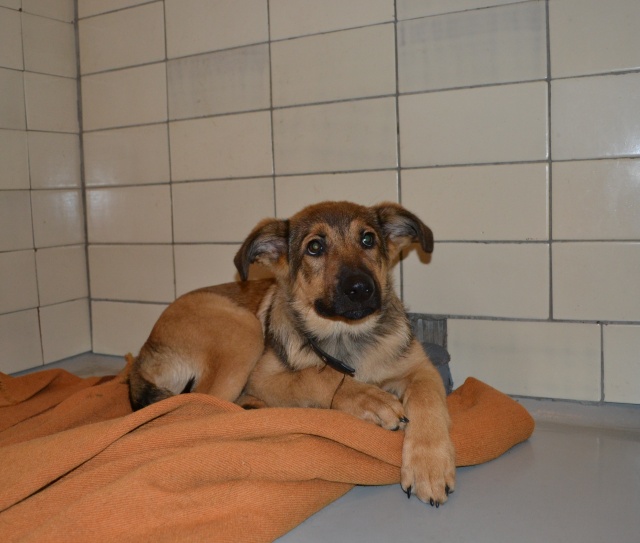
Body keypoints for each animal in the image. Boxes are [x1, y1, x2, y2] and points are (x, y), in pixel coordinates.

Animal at [129, 201, 456, 506]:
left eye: (368, 239)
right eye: (315, 247)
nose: (361, 288)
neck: (347, 335)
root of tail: (141, 355)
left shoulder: (421, 369)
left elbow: (428, 401)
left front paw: (430, 467)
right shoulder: (264, 376)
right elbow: (318, 376)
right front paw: (369, 398)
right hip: (243, 330)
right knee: (197, 406)